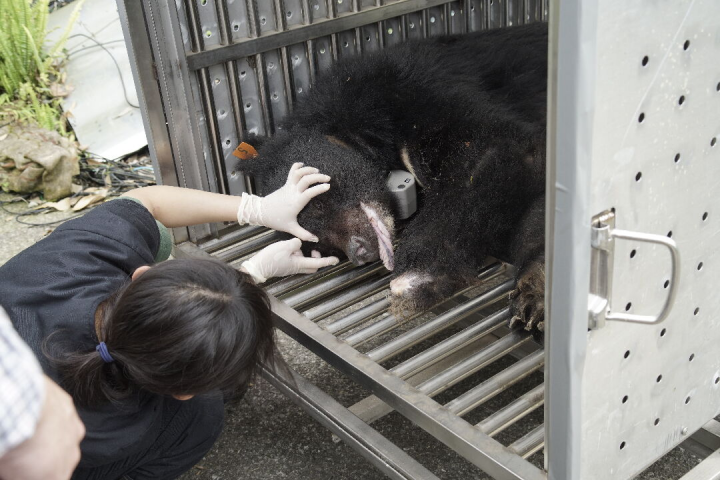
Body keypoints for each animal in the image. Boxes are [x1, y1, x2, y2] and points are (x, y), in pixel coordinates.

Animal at [238, 22, 548, 331]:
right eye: (318, 248)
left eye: (317, 201)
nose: (360, 252)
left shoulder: (424, 88)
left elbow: (498, 151)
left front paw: (415, 276)